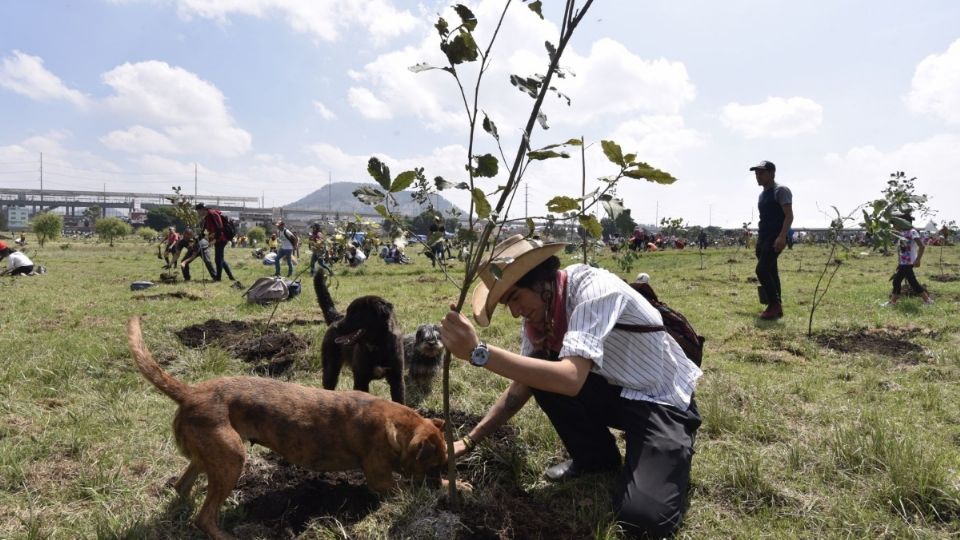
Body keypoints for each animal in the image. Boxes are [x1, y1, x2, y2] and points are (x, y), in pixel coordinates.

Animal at [125, 316, 448, 540]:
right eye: (434, 464)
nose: (440, 480)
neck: (395, 424)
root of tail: (190, 393)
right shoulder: (381, 479)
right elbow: (406, 485)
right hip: (231, 458)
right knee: (204, 518)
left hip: (209, 456)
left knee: (183, 486)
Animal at [316, 272, 404, 402]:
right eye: (348, 312)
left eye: (355, 314)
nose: (337, 327)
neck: (378, 346)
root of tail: (336, 317)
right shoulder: (360, 379)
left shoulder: (397, 379)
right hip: (330, 368)